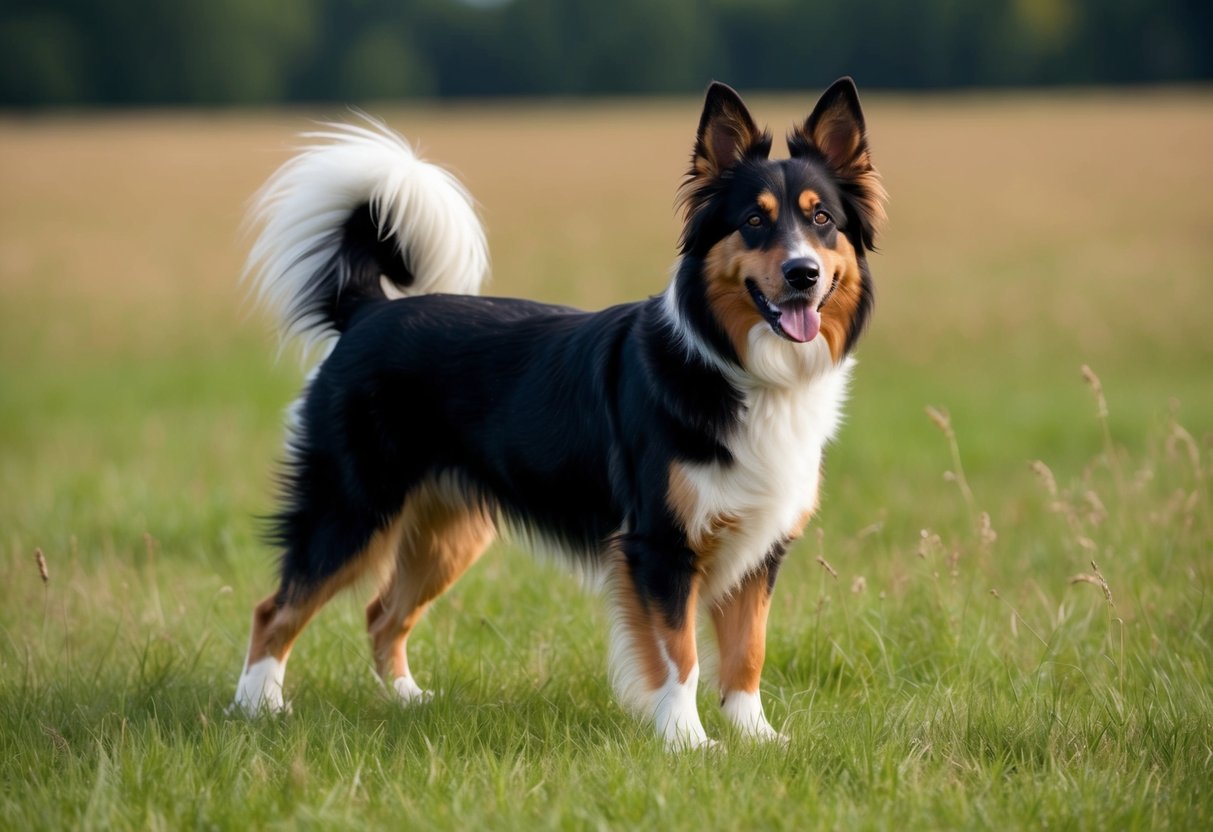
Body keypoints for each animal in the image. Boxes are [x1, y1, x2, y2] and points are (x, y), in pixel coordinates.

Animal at [231, 78, 887, 751]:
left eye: (822, 219)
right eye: (754, 221)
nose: (802, 274)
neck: (738, 366)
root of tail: (368, 310)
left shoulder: (760, 545)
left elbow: (746, 650)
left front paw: (756, 737)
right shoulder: (659, 545)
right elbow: (679, 653)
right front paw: (686, 741)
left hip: (447, 530)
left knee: (382, 612)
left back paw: (405, 699)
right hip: (352, 510)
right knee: (276, 608)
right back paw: (259, 706)